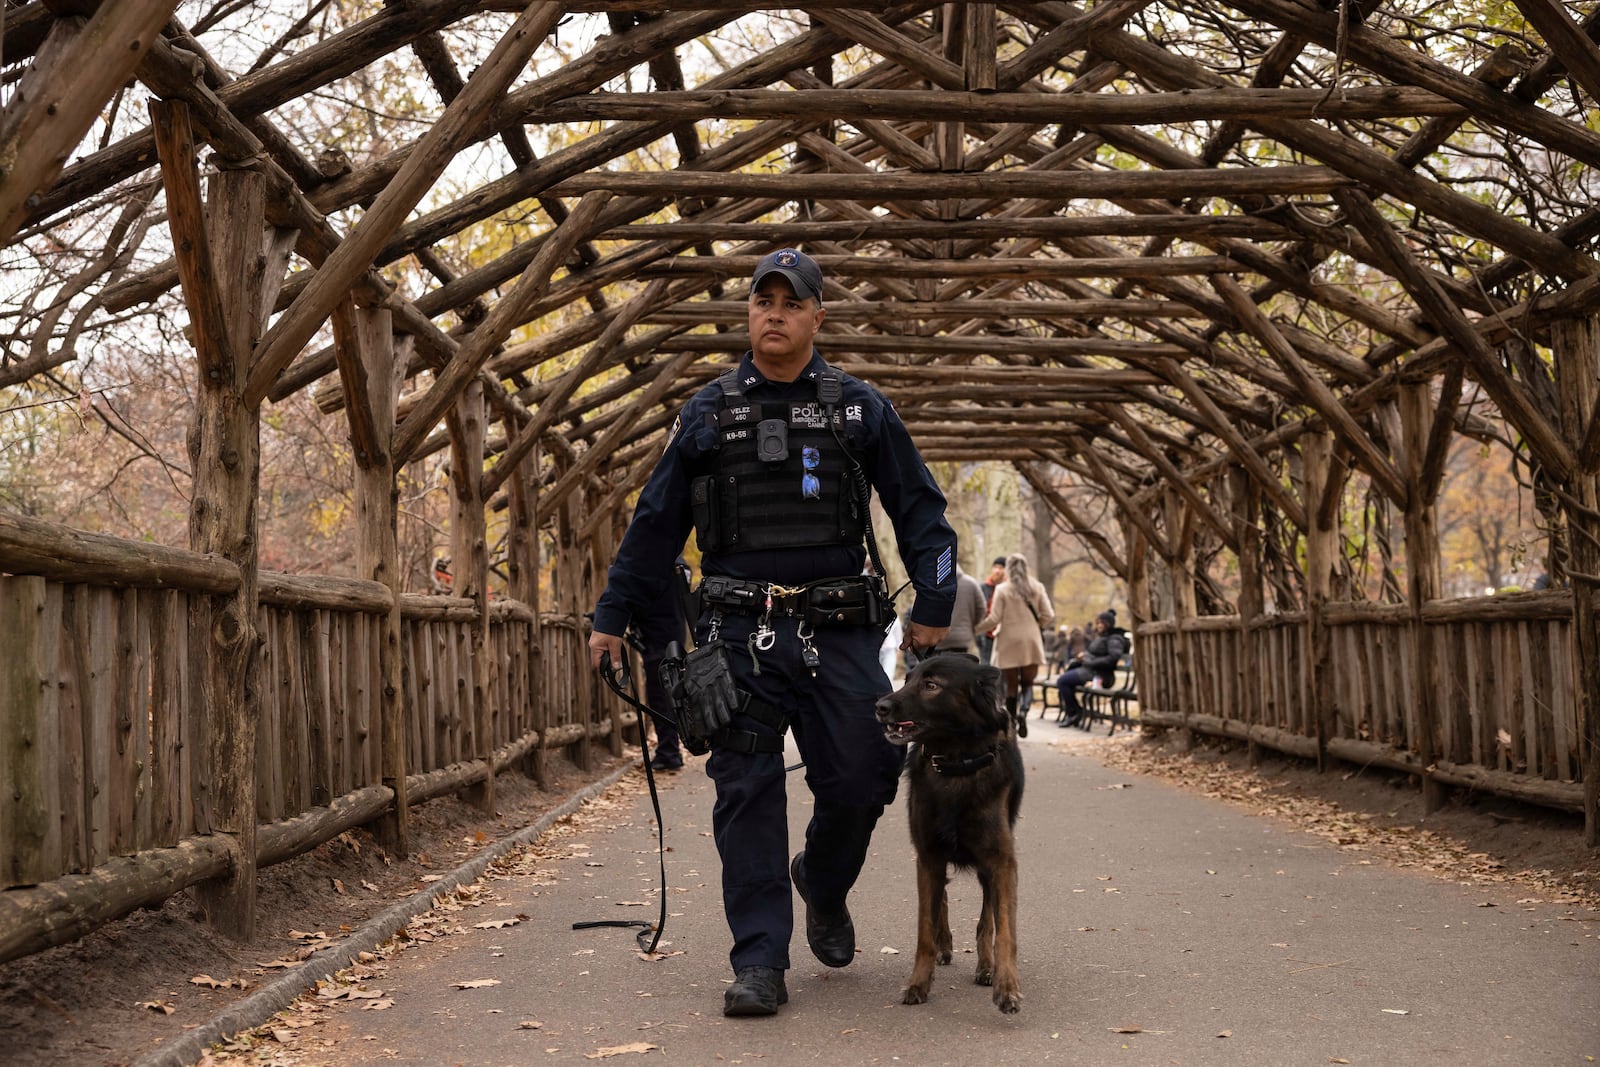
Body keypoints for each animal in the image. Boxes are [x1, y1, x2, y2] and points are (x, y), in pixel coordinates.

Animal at [876, 655, 1024, 1017]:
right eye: (908, 679)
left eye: (931, 685)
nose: (880, 707)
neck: (958, 766)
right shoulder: (928, 857)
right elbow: (924, 930)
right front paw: (919, 982)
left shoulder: (1001, 863)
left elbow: (1003, 930)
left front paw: (1006, 986)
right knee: (940, 899)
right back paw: (945, 946)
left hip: (986, 870)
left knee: (986, 919)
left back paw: (986, 967)